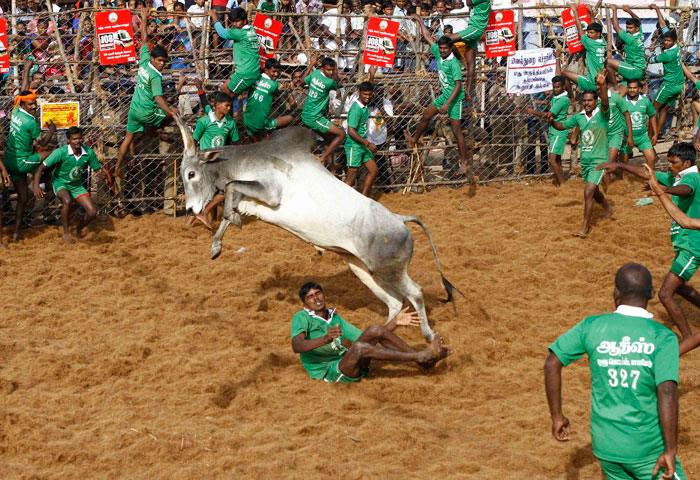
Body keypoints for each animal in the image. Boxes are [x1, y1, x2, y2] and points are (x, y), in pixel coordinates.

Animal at [175, 116, 461, 341]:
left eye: (191, 174)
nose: (190, 209)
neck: (244, 158)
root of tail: (401, 220)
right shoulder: (253, 203)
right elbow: (231, 201)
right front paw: (217, 243)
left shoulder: (270, 193)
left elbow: (231, 188)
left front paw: (227, 220)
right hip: (362, 269)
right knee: (394, 302)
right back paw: (381, 333)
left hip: (388, 270)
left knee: (416, 293)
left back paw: (427, 334)